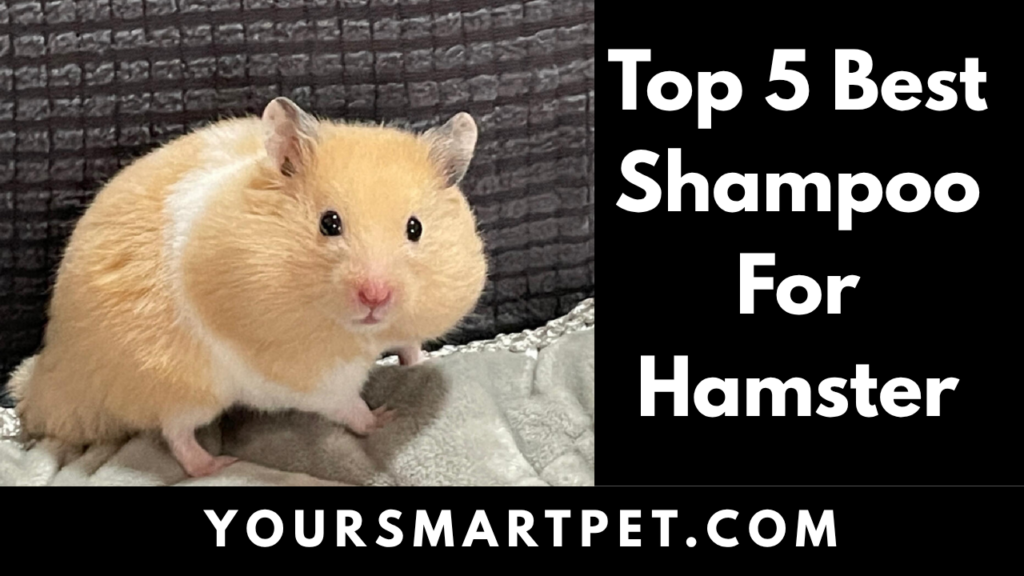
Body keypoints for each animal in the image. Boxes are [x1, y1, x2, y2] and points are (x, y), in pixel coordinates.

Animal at [8, 98, 488, 477]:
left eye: (415, 228)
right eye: (329, 223)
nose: (375, 297)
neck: (358, 333)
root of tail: (56, 370)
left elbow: (407, 343)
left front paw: (414, 360)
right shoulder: (309, 375)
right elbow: (347, 405)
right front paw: (384, 418)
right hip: (186, 388)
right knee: (177, 434)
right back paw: (217, 465)